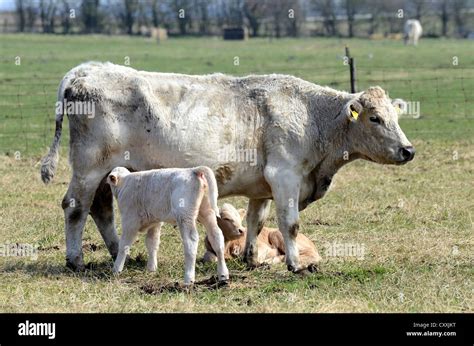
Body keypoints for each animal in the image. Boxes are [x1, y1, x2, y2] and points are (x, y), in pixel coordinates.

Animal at [40, 61, 414, 274]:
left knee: (101, 209)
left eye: (395, 117)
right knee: (76, 207)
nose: (408, 150)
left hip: (108, 172)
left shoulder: (264, 185)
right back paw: (75, 260)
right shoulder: (286, 176)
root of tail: (86, 70)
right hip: (89, 167)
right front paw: (294, 265)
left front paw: (251, 258)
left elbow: (256, 220)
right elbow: (290, 224)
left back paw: (121, 253)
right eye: (375, 118)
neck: (311, 117)